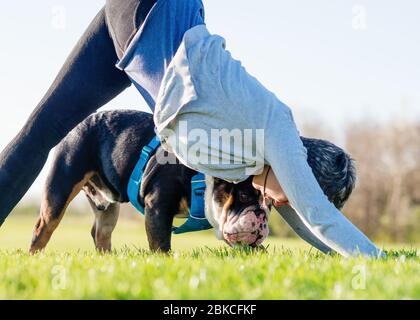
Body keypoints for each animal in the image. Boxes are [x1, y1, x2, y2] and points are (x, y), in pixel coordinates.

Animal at [29, 110, 268, 252]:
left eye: (269, 204)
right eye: (243, 195)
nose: (261, 214)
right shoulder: (158, 208)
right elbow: (161, 244)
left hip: (107, 208)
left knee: (101, 233)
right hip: (59, 191)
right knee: (43, 229)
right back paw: (35, 256)